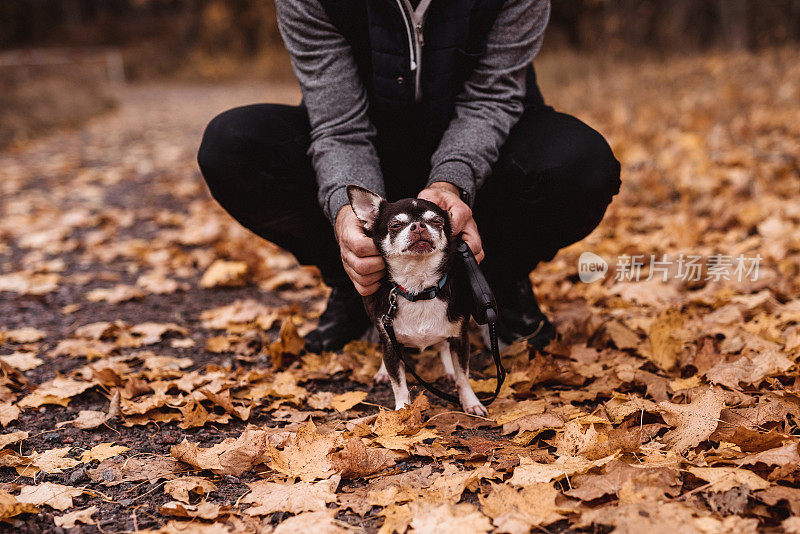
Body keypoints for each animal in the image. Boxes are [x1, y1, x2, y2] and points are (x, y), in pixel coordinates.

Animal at [346, 186, 488, 416]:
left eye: (437, 221)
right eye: (395, 225)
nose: (419, 225)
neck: (419, 288)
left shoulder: (461, 338)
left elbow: (463, 377)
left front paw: (471, 402)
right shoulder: (391, 343)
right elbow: (399, 384)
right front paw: (401, 411)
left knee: (444, 345)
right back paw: (383, 372)